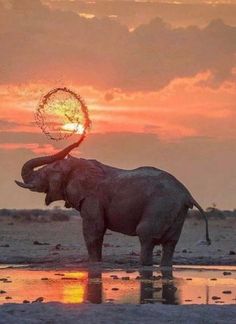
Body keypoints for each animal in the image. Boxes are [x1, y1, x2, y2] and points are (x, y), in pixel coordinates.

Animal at [15, 142, 210, 268]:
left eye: (49, 172)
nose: (78, 139)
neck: (79, 165)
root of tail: (187, 194)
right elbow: (98, 231)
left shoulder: (92, 198)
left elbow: (93, 231)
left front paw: (93, 264)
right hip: (176, 212)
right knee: (170, 243)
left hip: (160, 206)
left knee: (146, 236)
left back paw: (144, 266)